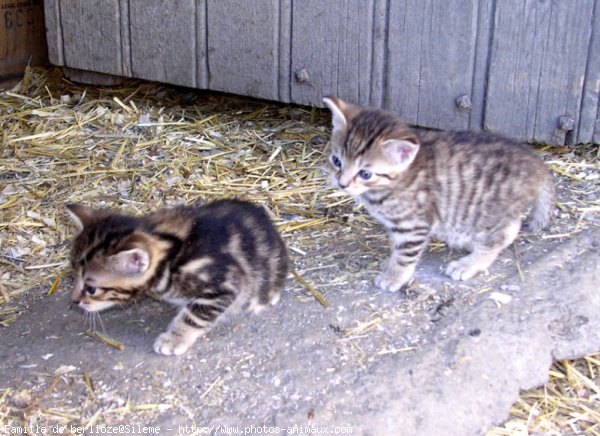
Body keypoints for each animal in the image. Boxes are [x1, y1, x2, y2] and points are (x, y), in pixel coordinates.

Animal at [68, 199, 288, 356]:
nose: (74, 301)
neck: (170, 257)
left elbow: (195, 315)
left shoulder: (224, 282)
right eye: (73, 276)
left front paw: (174, 338)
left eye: (91, 289)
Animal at [324, 97, 552, 292]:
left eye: (365, 173)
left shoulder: (413, 225)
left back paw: (469, 264)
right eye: (336, 161)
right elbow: (396, 247)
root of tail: (538, 166)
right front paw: (390, 262)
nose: (342, 183)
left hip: (488, 215)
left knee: (503, 234)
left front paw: (394, 276)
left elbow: (405, 255)